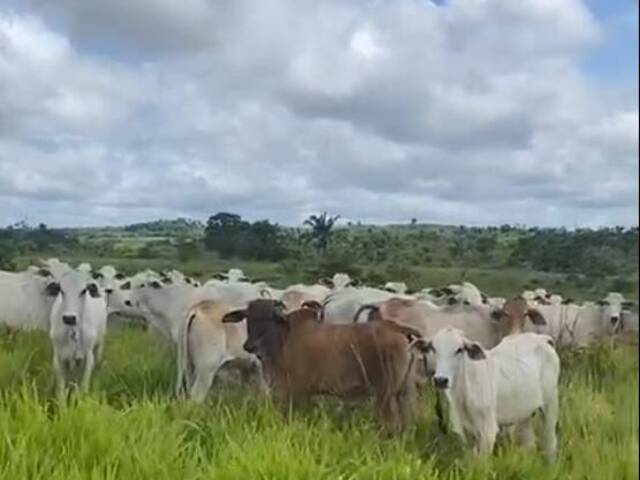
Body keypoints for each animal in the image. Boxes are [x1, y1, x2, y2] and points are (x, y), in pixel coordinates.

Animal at [47, 270, 107, 398]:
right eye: (61, 290)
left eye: (84, 290)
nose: (69, 318)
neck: (72, 331)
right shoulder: (58, 357)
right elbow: (61, 389)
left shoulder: (88, 357)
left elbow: (83, 386)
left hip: (99, 344)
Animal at [222, 298, 422, 434]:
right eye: (248, 318)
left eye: (269, 318)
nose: (249, 346)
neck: (282, 339)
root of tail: (397, 328)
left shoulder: (295, 393)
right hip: (405, 392)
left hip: (386, 395)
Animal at [416, 328, 560, 460]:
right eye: (433, 348)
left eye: (459, 349)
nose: (440, 380)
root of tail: (542, 338)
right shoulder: (464, 430)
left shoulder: (488, 430)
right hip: (525, 413)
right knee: (529, 444)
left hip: (550, 404)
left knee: (551, 442)